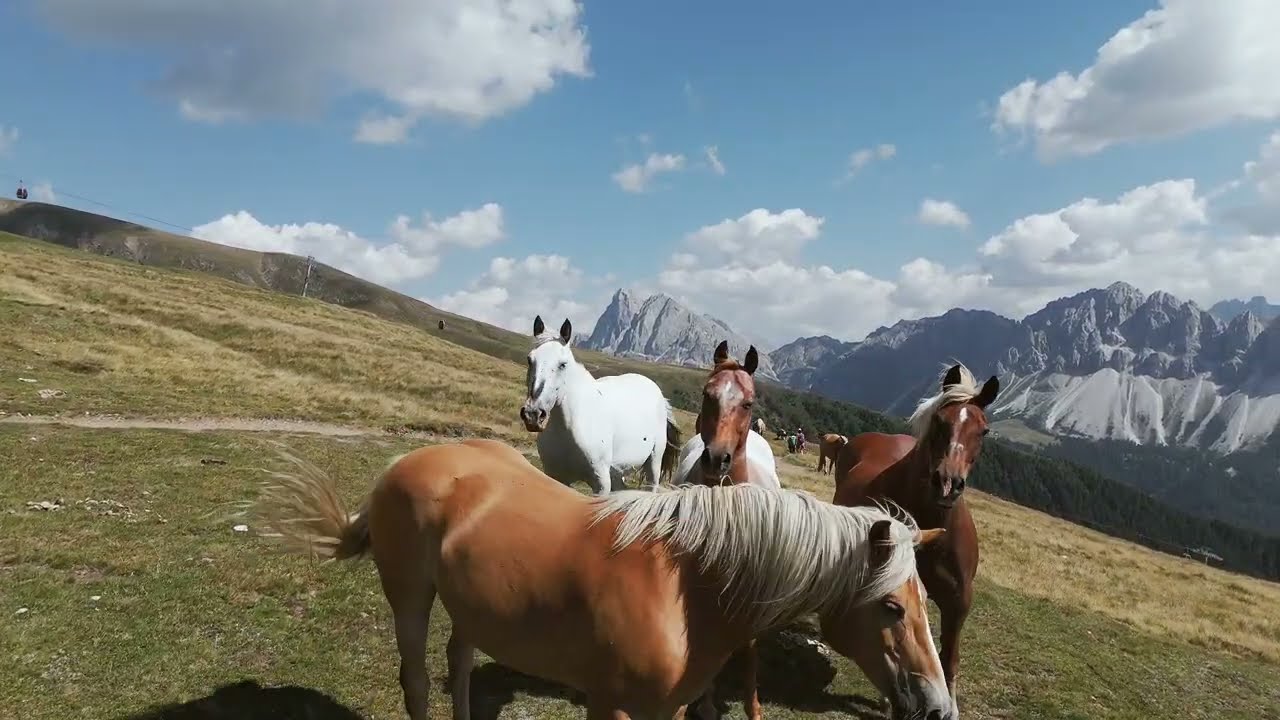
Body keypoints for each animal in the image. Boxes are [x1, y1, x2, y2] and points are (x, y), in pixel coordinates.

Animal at [251, 437, 956, 720]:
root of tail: (407, 462)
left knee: (460, 663)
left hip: (472, 607)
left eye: (926, 604)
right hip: (409, 599)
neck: (683, 588)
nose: (938, 706)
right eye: (893, 608)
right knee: (419, 680)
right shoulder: (608, 705)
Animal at [518, 315, 681, 494]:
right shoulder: (557, 478)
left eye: (563, 364)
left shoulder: (601, 483)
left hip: (654, 462)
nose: (532, 414)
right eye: (529, 360)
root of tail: (659, 394)